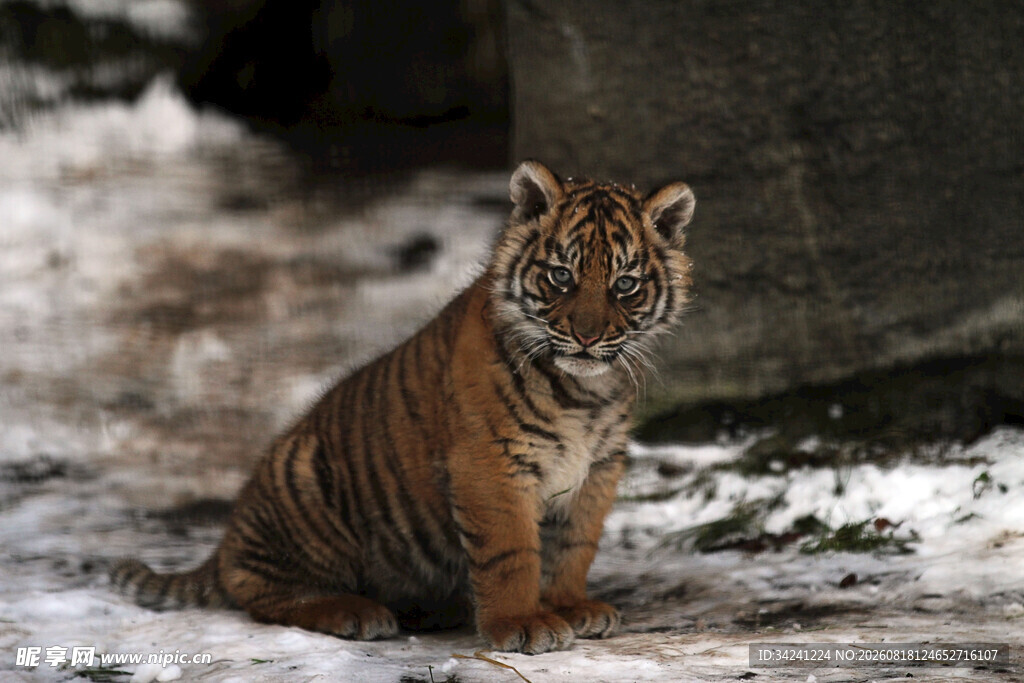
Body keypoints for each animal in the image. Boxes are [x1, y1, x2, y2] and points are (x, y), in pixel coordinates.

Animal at [110, 160, 696, 654]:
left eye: (624, 284)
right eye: (561, 276)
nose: (587, 336)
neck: (584, 393)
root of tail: (226, 539)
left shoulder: (598, 468)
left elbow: (576, 546)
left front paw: (571, 606)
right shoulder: (491, 467)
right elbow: (511, 554)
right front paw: (522, 623)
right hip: (304, 482)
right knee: (260, 590)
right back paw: (354, 612)